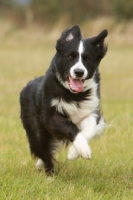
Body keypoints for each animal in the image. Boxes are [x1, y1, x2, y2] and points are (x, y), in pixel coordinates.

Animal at [20, 24, 108, 175]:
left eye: (87, 59)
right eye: (70, 56)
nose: (79, 72)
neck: (73, 95)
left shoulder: (90, 111)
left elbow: (89, 129)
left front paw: (76, 151)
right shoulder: (50, 117)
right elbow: (70, 126)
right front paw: (81, 150)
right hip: (35, 128)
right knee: (43, 150)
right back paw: (50, 175)